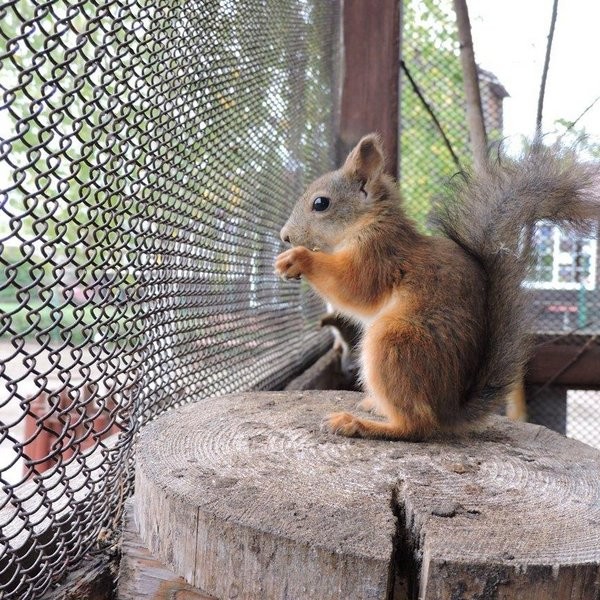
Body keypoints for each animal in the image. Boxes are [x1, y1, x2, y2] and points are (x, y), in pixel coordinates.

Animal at [276, 134, 600, 438]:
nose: (285, 237)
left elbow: (355, 287)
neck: (368, 222)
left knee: (416, 425)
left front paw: (298, 259)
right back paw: (374, 406)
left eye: (321, 204)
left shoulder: (379, 256)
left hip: (394, 342)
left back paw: (360, 424)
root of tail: (449, 412)